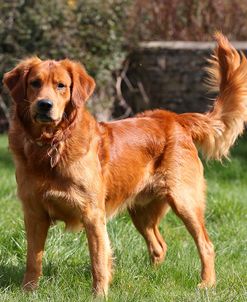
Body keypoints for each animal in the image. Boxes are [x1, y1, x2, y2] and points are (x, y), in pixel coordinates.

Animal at [2, 33, 247, 294]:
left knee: (205, 244)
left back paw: (206, 283)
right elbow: (33, 258)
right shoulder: (34, 213)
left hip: (185, 201)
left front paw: (99, 294)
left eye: (61, 85)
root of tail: (174, 118)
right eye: (35, 83)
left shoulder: (92, 214)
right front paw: (28, 291)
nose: (44, 105)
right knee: (159, 245)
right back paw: (152, 277)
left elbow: (98, 260)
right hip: (141, 211)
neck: (51, 144)